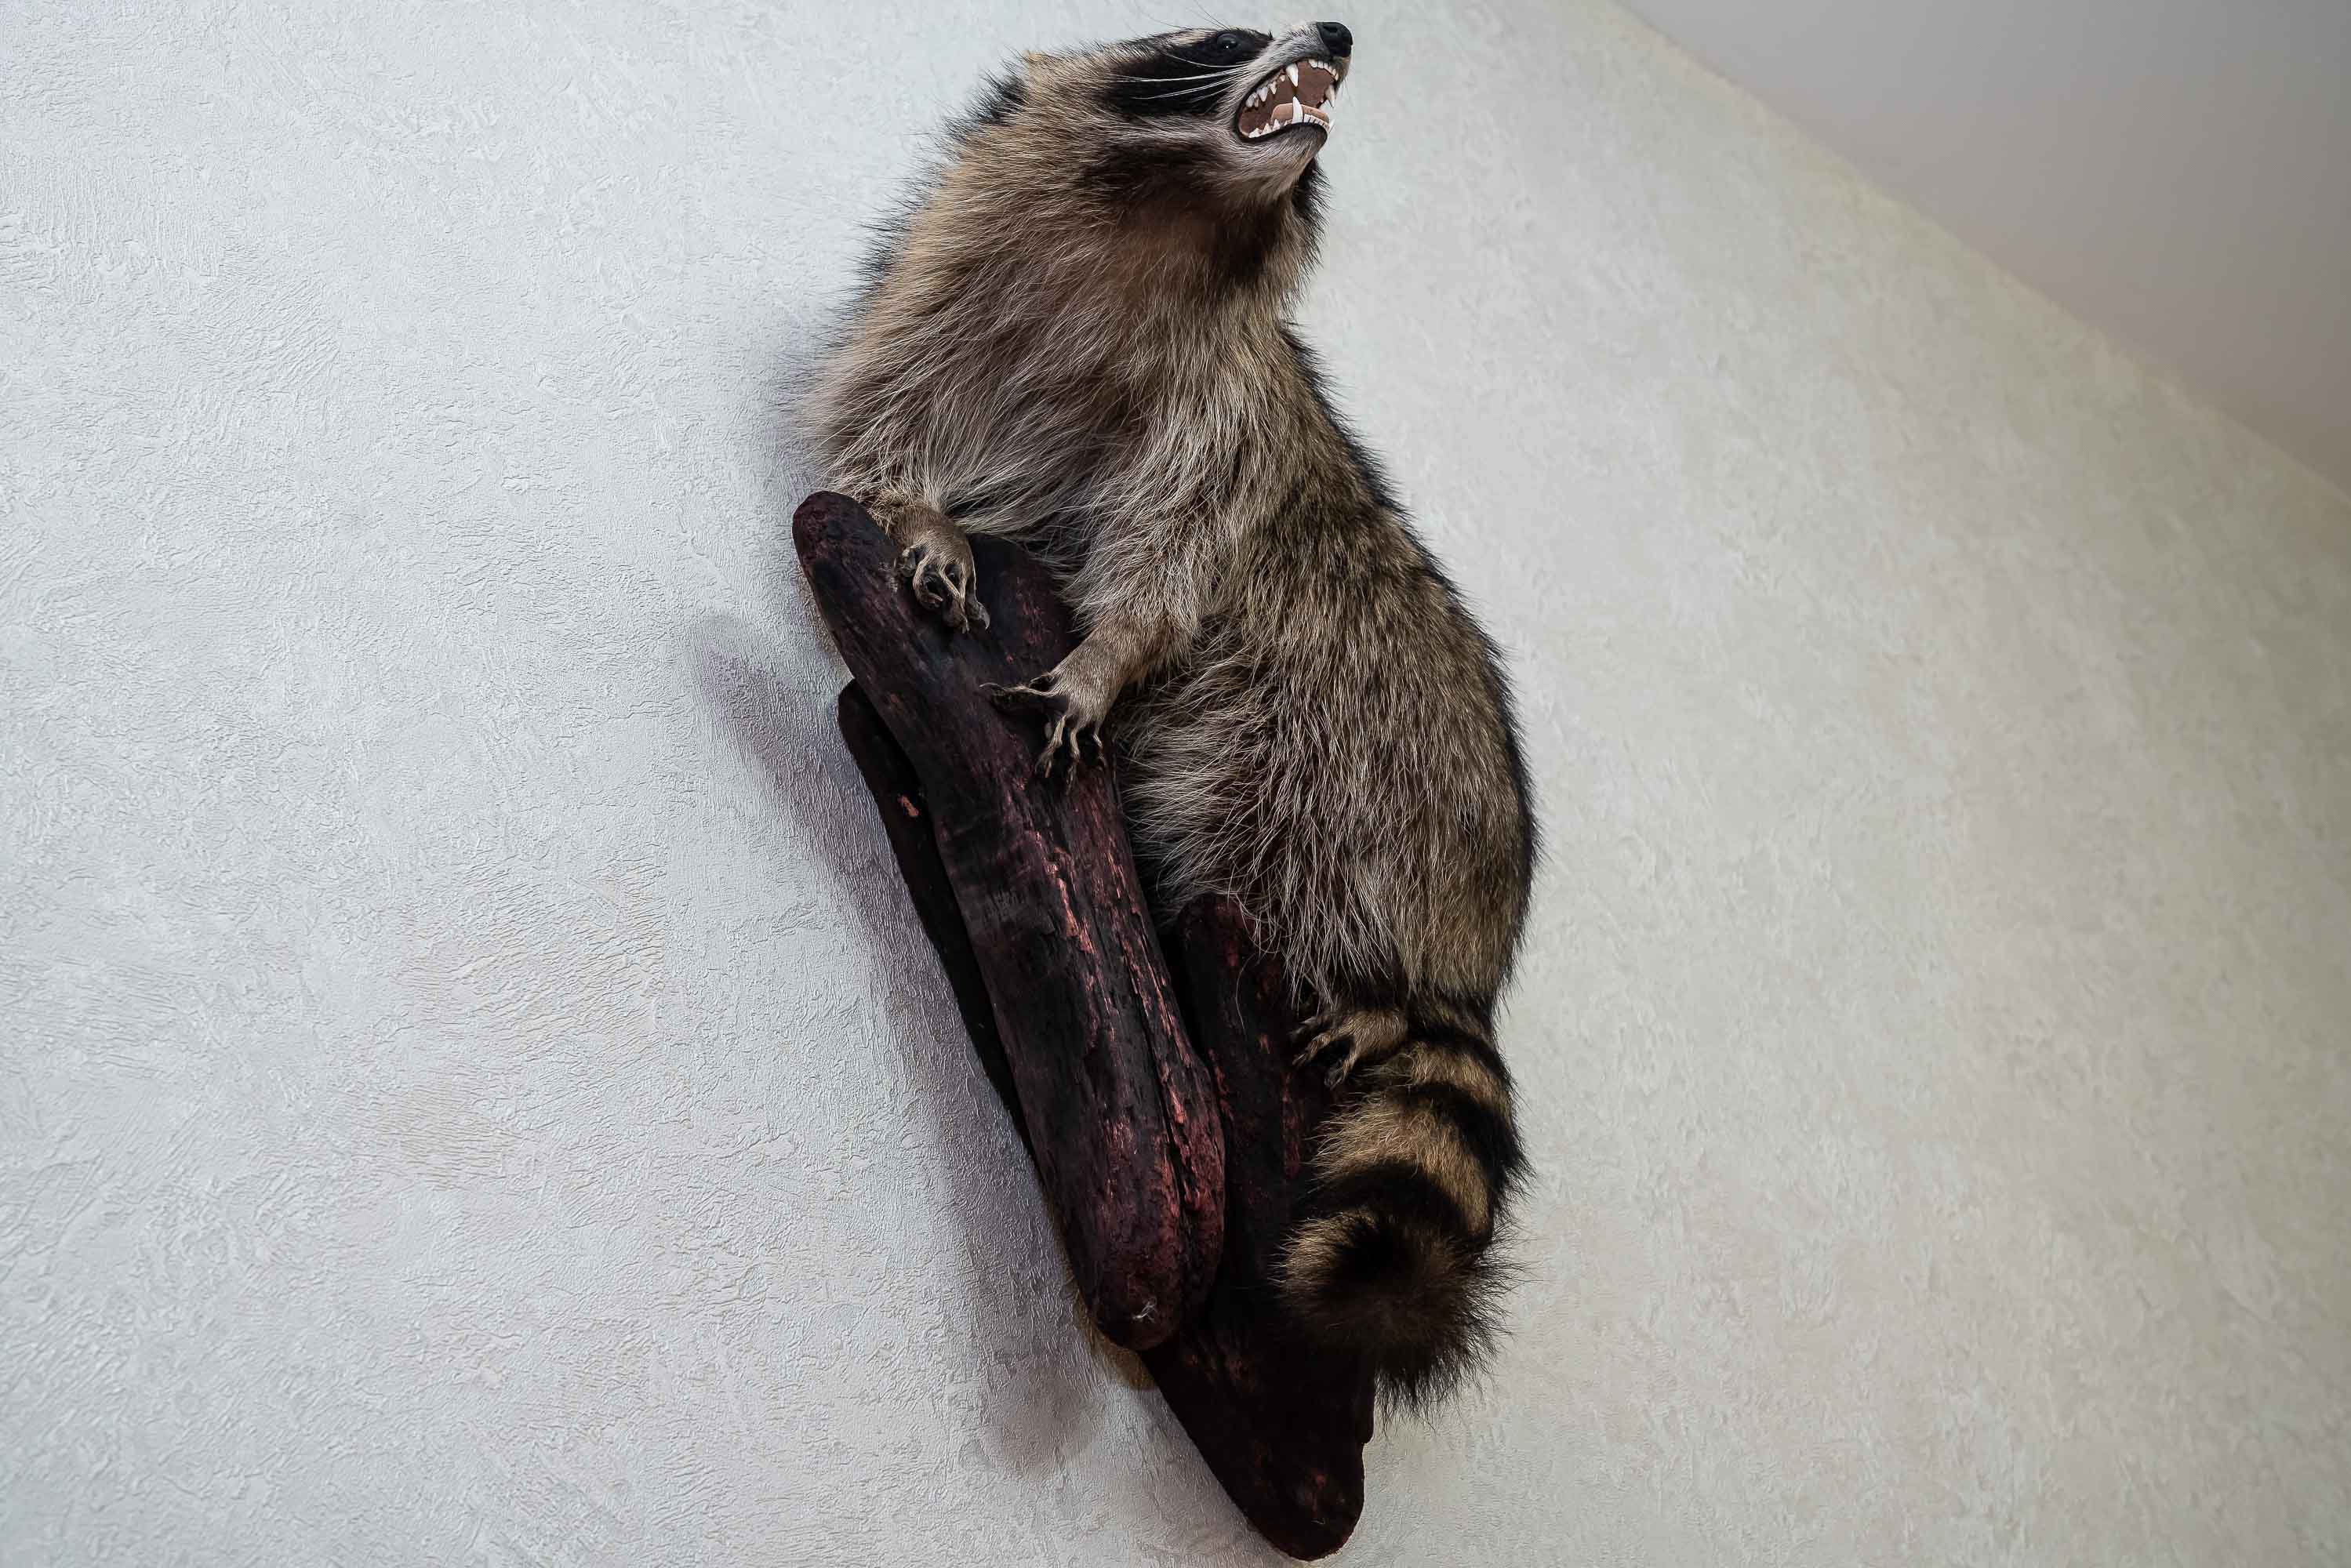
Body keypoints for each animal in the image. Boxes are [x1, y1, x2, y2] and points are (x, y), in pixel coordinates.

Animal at [814, 22, 1537, 1405]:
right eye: (1218, 34)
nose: (1335, 32)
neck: (1166, 225)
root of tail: (1474, 940)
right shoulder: (937, 298)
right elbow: (878, 437)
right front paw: (921, 517)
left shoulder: (1228, 414)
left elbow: (1172, 564)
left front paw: (1107, 654)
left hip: (1389, 757)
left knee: (1293, 815)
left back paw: (1365, 984)